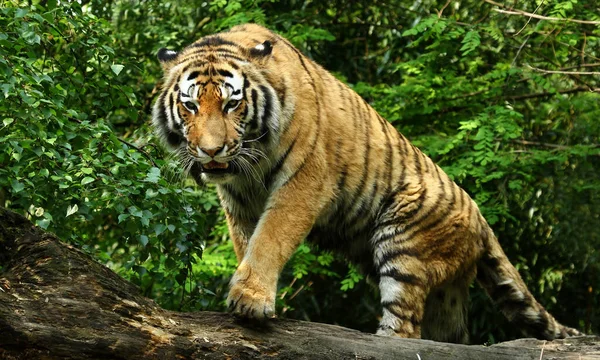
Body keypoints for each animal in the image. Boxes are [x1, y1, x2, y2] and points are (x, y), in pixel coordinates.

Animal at [152, 22, 584, 344]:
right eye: (190, 105)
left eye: (232, 103)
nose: (211, 151)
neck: (248, 166)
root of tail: (481, 219)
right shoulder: (239, 199)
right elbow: (247, 242)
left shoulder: (304, 180)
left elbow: (269, 238)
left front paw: (250, 299)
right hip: (445, 293)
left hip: (404, 242)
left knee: (406, 330)